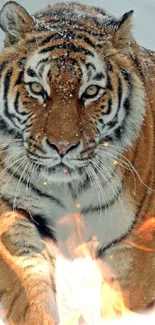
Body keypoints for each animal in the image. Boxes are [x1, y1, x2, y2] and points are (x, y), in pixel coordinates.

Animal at [0, 0, 154, 322]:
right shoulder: (14, 211)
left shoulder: (136, 244)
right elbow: (29, 291)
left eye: (91, 91)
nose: (63, 147)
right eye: (37, 88)